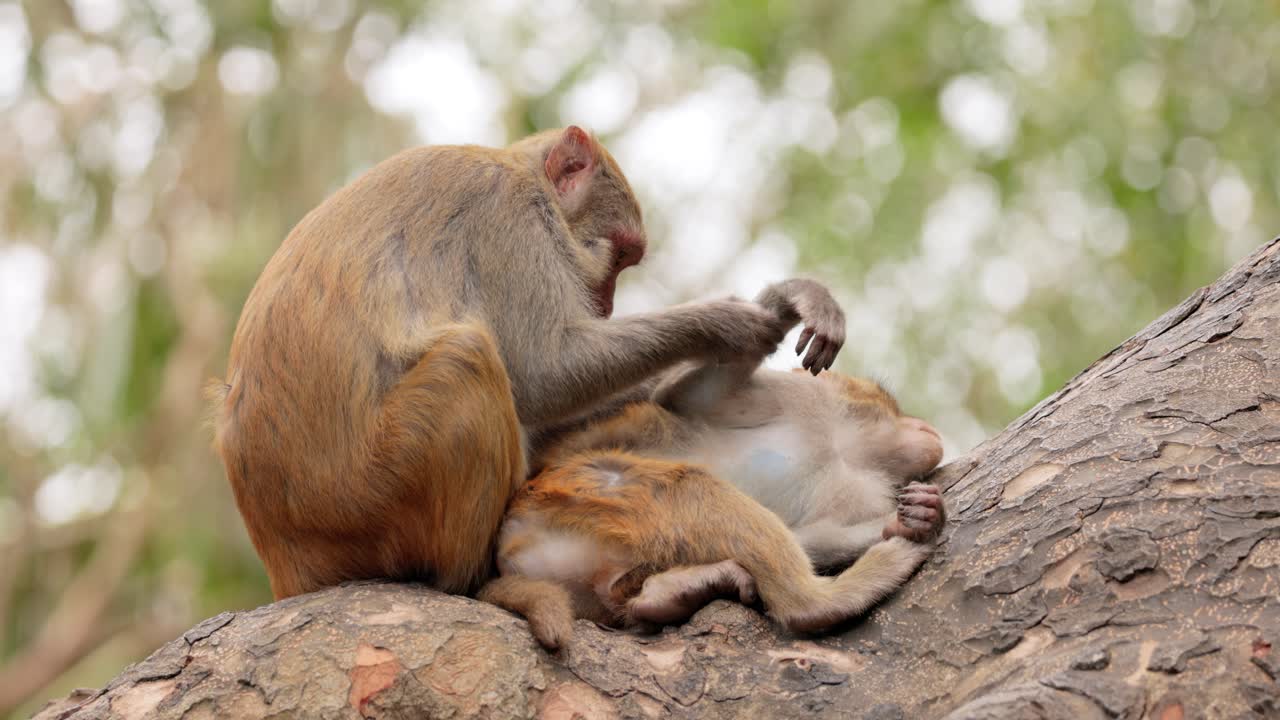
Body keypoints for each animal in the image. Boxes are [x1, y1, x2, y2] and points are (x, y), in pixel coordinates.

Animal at [206, 126, 798, 601]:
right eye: (622, 254)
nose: (606, 305)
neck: (520, 169)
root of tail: (288, 557)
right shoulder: (510, 216)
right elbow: (544, 373)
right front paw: (725, 322)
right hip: (373, 497)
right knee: (466, 357)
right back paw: (473, 576)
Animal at [479, 281, 946, 650]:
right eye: (888, 403)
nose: (926, 428)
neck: (842, 447)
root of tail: (511, 545)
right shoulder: (799, 396)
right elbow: (685, 395)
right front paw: (790, 301)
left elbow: (817, 536)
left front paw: (908, 519)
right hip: (573, 492)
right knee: (684, 487)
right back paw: (819, 602)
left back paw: (665, 595)